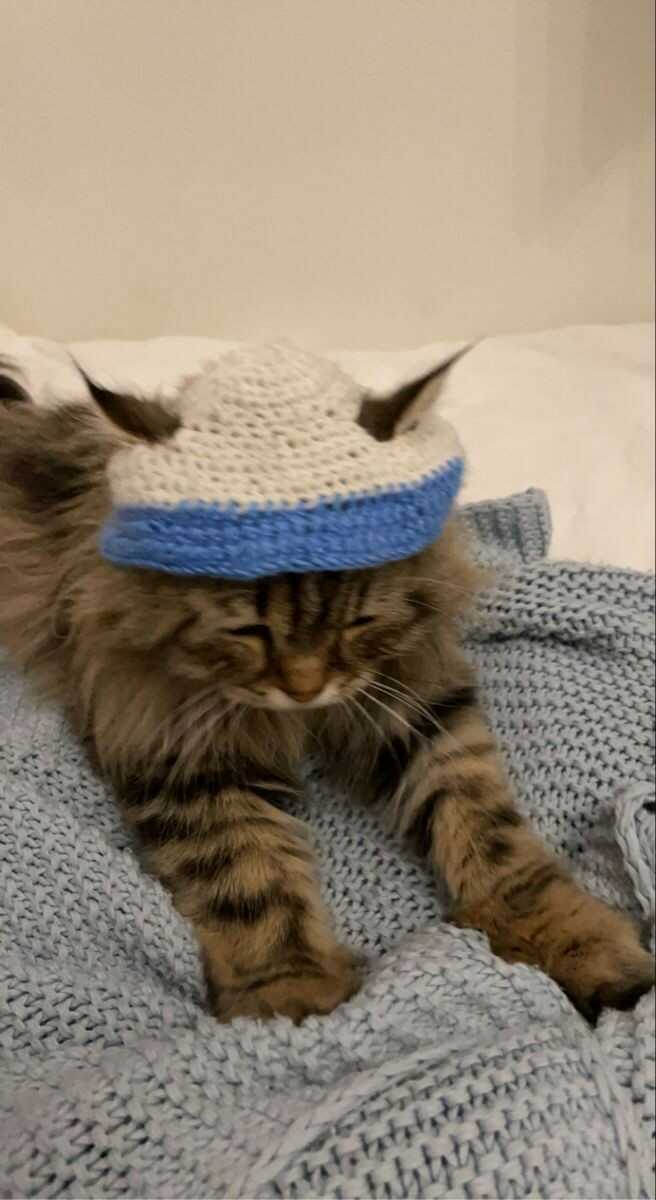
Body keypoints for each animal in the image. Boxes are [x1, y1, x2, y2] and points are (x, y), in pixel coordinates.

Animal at [0, 369, 653, 1023]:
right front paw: (292, 1002)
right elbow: (250, 881)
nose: (304, 687)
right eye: (248, 630)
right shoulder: (185, 753)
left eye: (357, 618)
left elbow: (489, 833)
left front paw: (573, 944)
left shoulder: (416, 707)